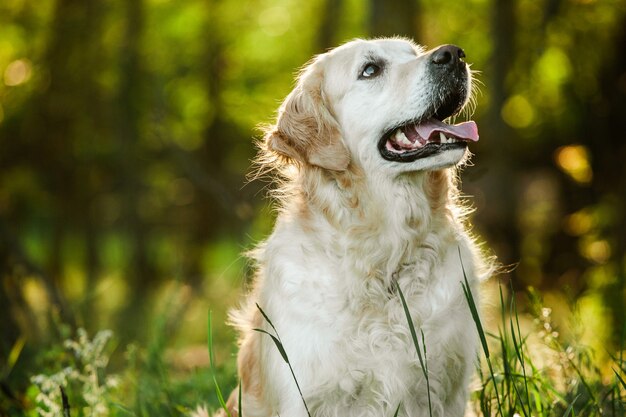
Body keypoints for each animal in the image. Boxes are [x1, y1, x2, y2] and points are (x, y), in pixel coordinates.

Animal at [210, 37, 488, 414]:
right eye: (370, 70)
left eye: (414, 53)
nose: (454, 54)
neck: (384, 260)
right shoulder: (304, 394)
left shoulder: (449, 390)